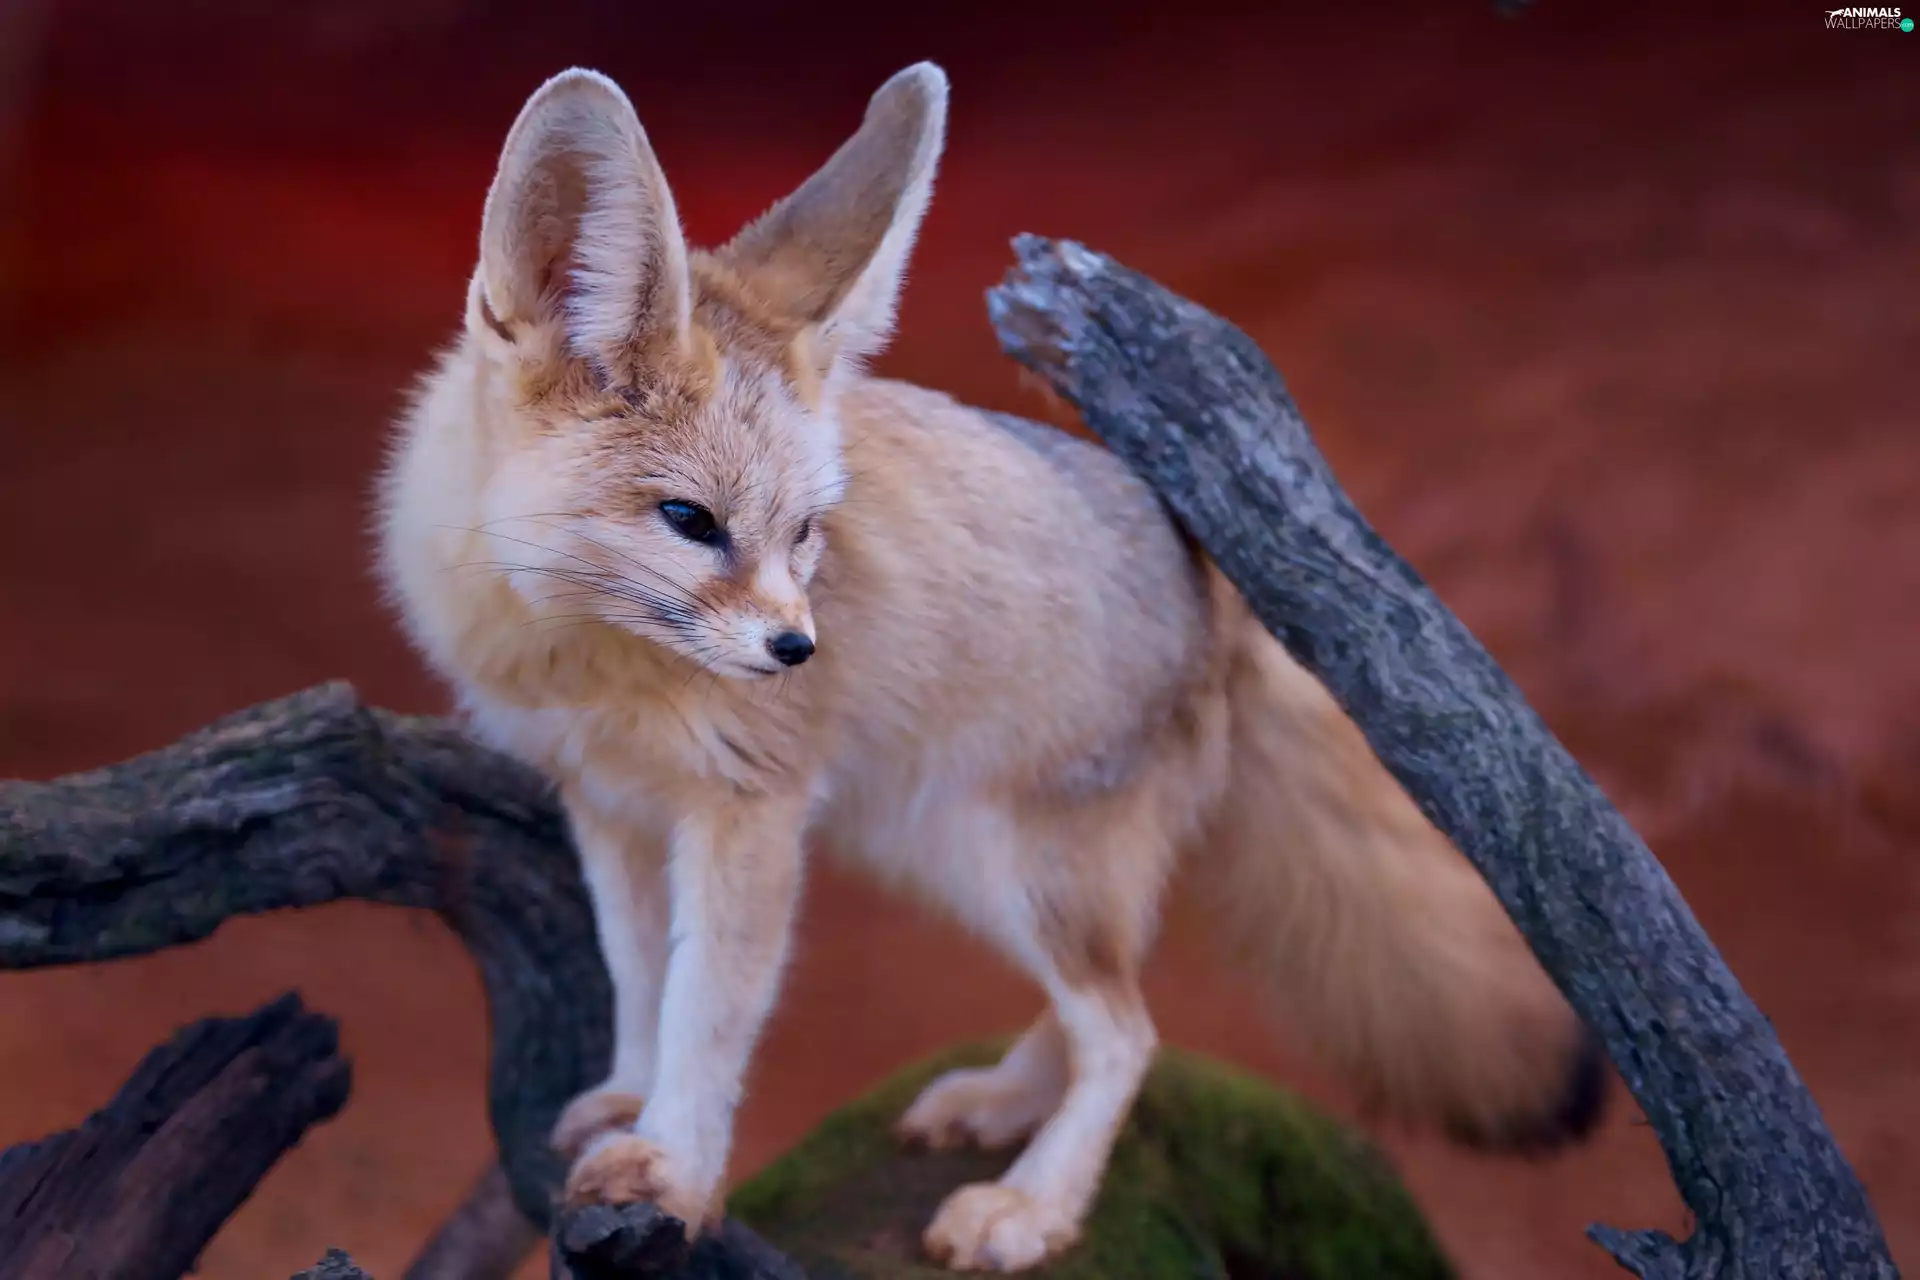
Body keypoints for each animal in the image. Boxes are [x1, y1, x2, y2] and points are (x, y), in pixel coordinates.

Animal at [374, 61, 1606, 1272]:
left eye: (805, 533)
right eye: (690, 520)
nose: (797, 649)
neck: (586, 659)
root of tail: (1218, 576)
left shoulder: (746, 816)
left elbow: (707, 1011)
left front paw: (672, 1165)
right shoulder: (612, 805)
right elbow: (641, 977)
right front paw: (630, 1100)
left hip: (1007, 864)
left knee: (1127, 1030)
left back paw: (1032, 1203)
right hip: (954, 853)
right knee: (1105, 1003)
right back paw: (1004, 1104)